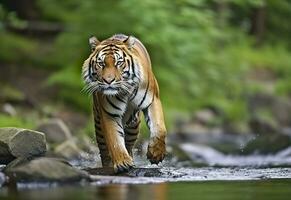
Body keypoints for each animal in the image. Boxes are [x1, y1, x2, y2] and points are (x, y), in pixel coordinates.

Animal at [82, 33, 168, 173]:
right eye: (101, 64)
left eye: (119, 63)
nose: (108, 81)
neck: (125, 91)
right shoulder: (109, 114)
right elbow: (115, 140)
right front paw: (122, 163)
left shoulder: (152, 100)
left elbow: (159, 128)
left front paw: (156, 154)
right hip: (99, 126)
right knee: (105, 151)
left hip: (134, 125)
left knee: (129, 144)